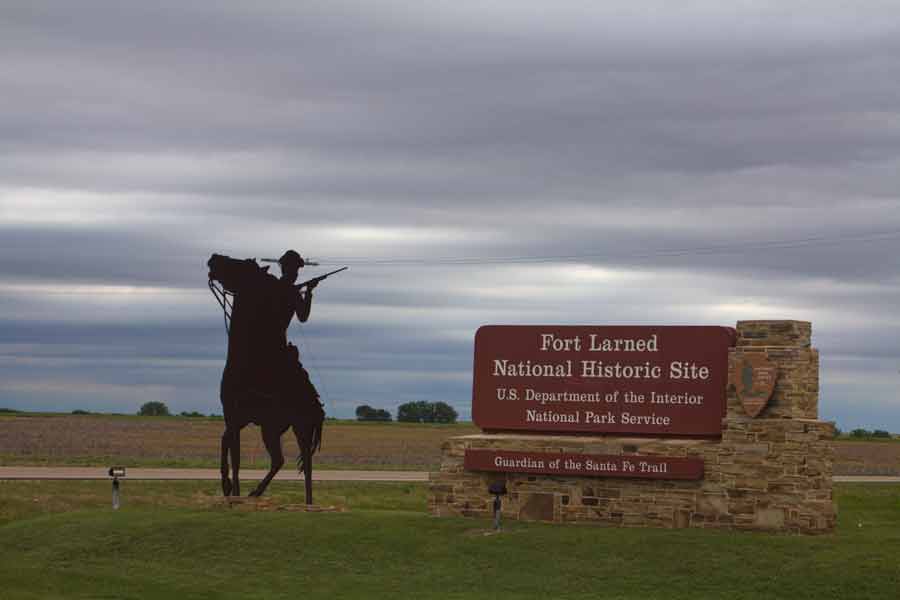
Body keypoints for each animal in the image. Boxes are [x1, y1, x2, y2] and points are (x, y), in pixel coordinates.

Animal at [207, 253, 324, 502]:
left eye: (240, 265)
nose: (213, 258)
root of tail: (316, 405)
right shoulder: (238, 419)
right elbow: (225, 443)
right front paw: (227, 485)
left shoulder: (232, 414)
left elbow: (236, 457)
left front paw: (233, 491)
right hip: (280, 429)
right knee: (296, 463)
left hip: (283, 429)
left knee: (290, 462)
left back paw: (261, 493)